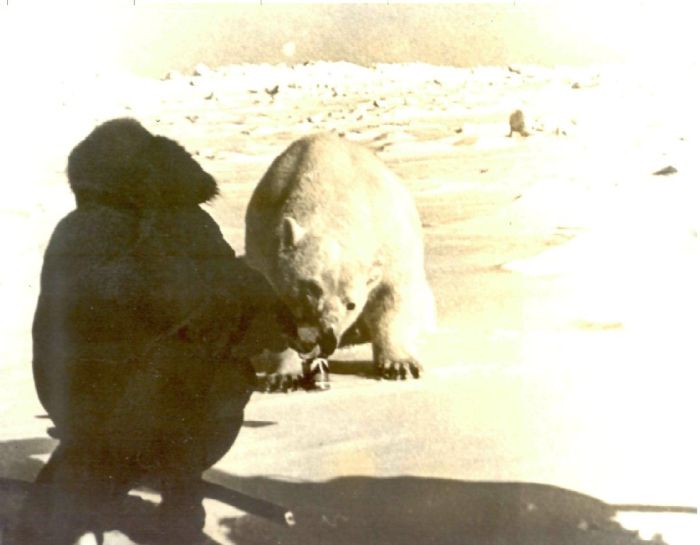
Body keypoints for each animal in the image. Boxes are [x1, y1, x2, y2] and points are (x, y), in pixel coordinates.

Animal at [243, 132, 434, 380]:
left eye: (351, 304)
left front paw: (400, 365)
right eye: (311, 290)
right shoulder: (263, 248)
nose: (326, 337)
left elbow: (393, 294)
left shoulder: (392, 241)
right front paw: (285, 374)